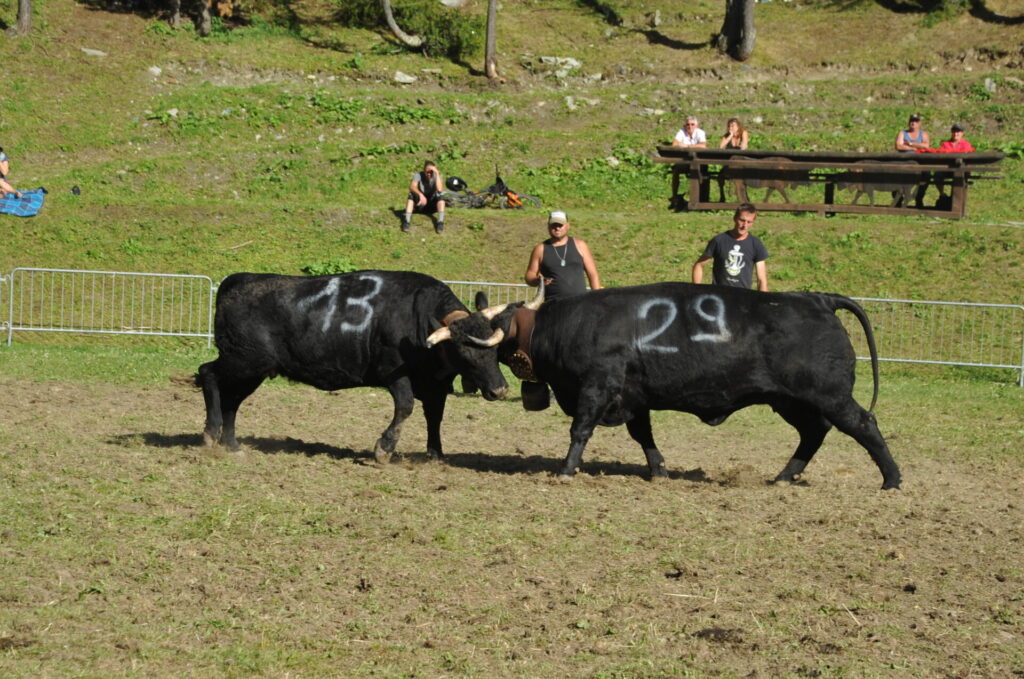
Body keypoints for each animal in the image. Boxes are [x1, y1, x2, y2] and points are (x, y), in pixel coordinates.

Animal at [194, 272, 507, 462]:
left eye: (495, 351)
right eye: (464, 351)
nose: (500, 389)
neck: (416, 319)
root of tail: (237, 281)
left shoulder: (436, 385)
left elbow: (435, 417)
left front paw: (436, 454)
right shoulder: (394, 374)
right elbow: (405, 407)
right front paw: (383, 449)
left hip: (253, 371)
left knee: (232, 401)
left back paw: (231, 444)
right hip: (242, 361)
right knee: (208, 373)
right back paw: (210, 433)